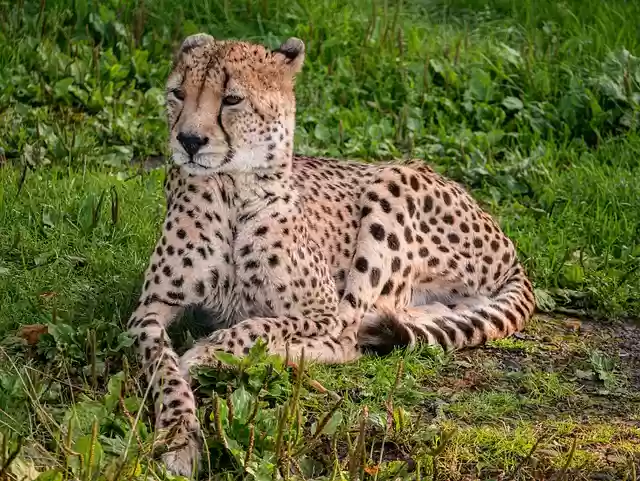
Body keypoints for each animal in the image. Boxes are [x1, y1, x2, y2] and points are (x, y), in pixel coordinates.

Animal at [125, 33, 536, 477]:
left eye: (232, 99)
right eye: (178, 94)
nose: (188, 141)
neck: (231, 190)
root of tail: (506, 243)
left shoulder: (320, 309)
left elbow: (263, 325)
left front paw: (210, 351)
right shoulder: (149, 311)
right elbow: (164, 370)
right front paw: (178, 438)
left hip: (392, 185)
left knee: (348, 337)